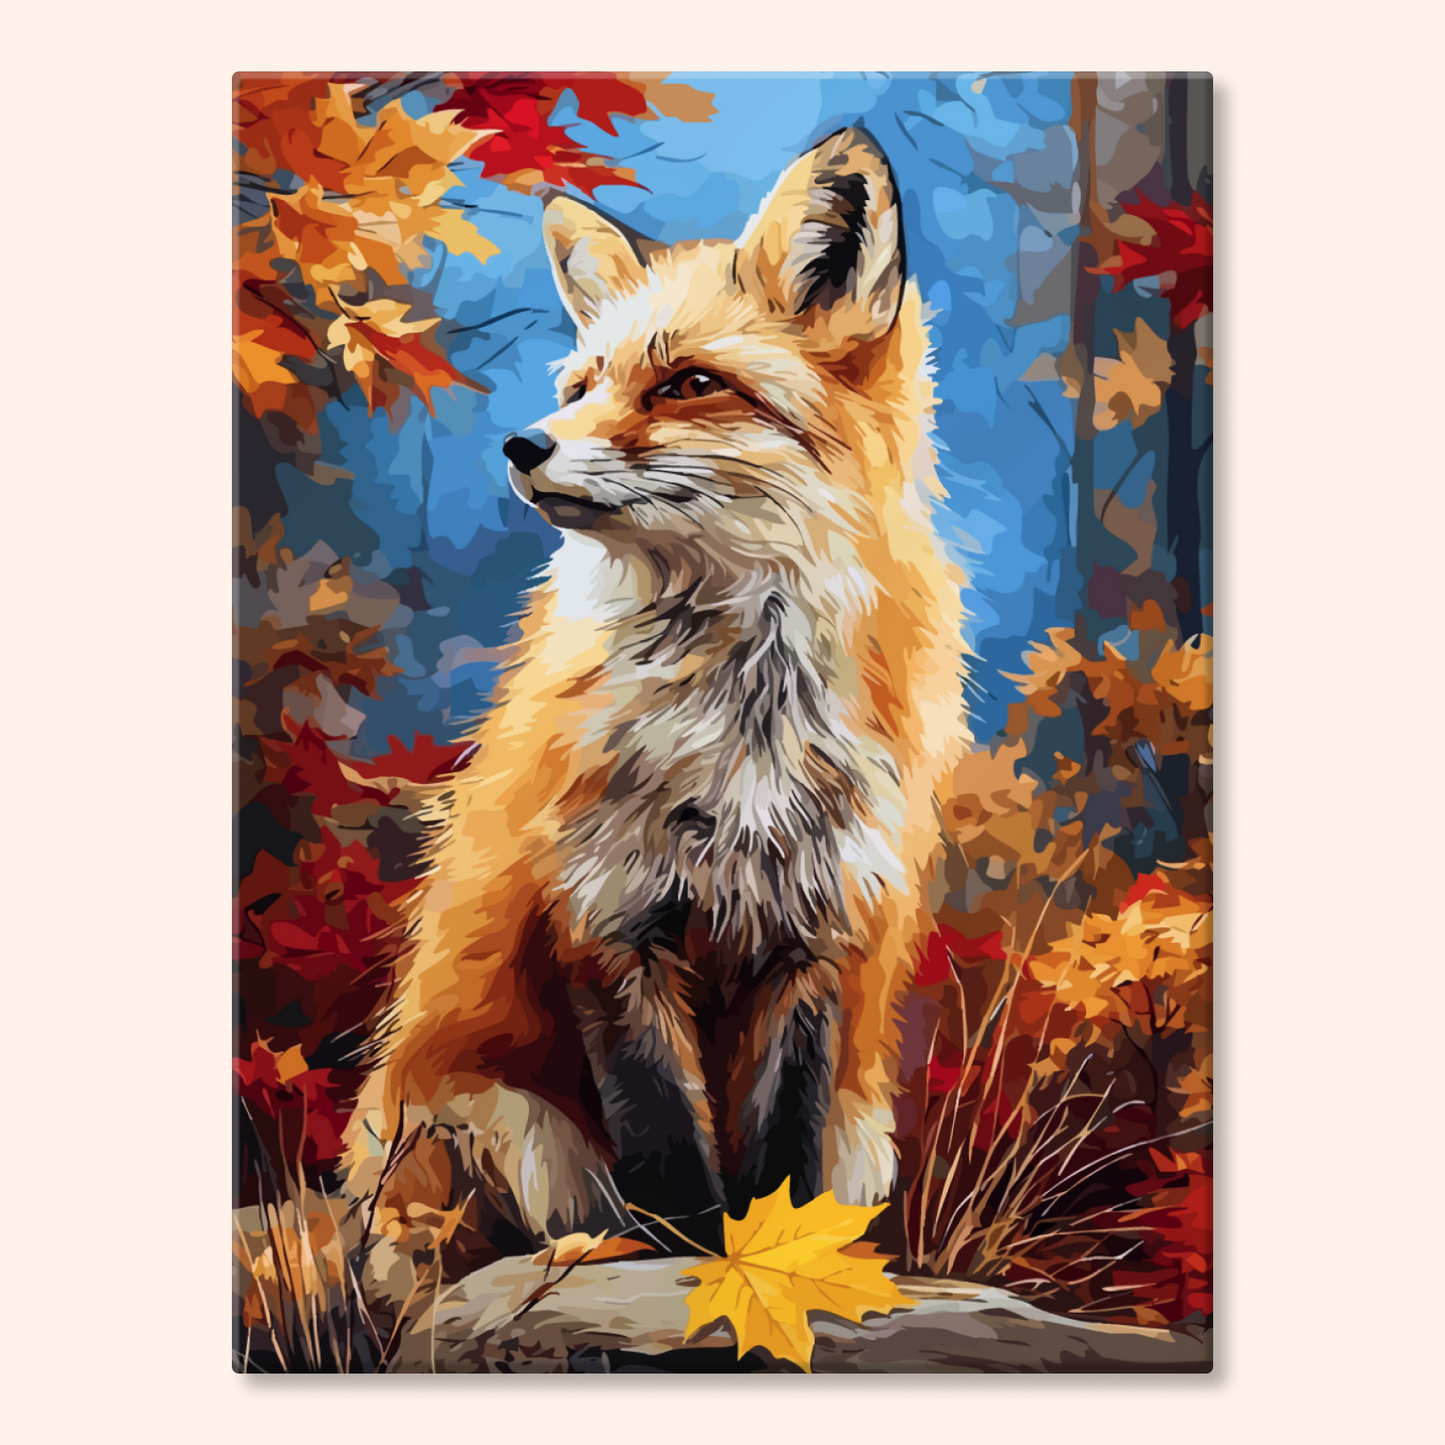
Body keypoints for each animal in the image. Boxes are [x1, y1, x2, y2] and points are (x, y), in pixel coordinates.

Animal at [342, 127, 971, 1291]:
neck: (741, 719)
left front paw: (775, 1263)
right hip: (505, 1130)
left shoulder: (814, 930)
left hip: (865, 1136)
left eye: (689, 383)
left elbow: (780, 1157)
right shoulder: (606, 913)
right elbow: (667, 1141)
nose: (522, 445)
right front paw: (694, 1260)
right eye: (583, 382)